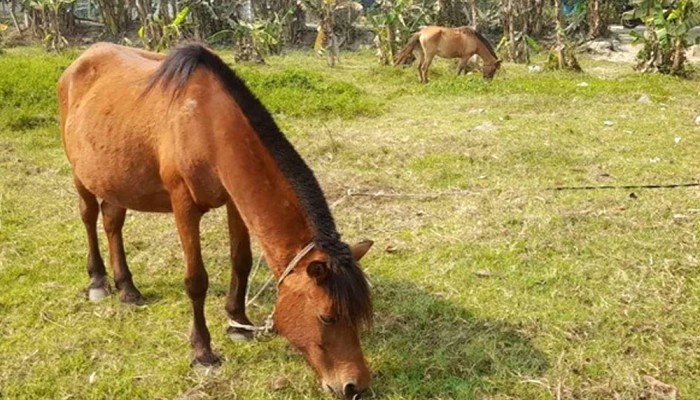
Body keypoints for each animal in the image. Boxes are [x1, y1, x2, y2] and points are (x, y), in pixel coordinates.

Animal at [58, 42, 374, 398]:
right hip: (80, 173)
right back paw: (98, 281)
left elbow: (242, 261)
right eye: (327, 317)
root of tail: (81, 61)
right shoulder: (183, 205)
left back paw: (127, 289)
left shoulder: (235, 203)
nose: (354, 385)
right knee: (88, 217)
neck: (209, 126)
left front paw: (239, 323)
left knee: (113, 222)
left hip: (115, 176)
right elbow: (196, 280)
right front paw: (202, 351)